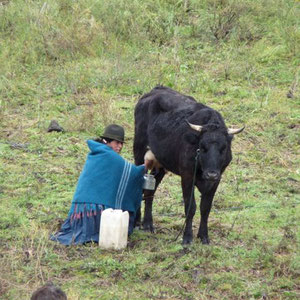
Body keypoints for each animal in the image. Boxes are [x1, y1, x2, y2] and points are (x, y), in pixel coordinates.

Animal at [134, 85, 244, 245]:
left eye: (223, 148)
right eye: (202, 147)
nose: (211, 174)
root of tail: (156, 89)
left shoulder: (217, 180)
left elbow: (205, 208)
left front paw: (204, 236)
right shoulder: (187, 176)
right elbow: (190, 207)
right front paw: (187, 237)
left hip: (160, 164)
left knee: (150, 192)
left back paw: (148, 224)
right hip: (139, 153)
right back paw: (137, 222)